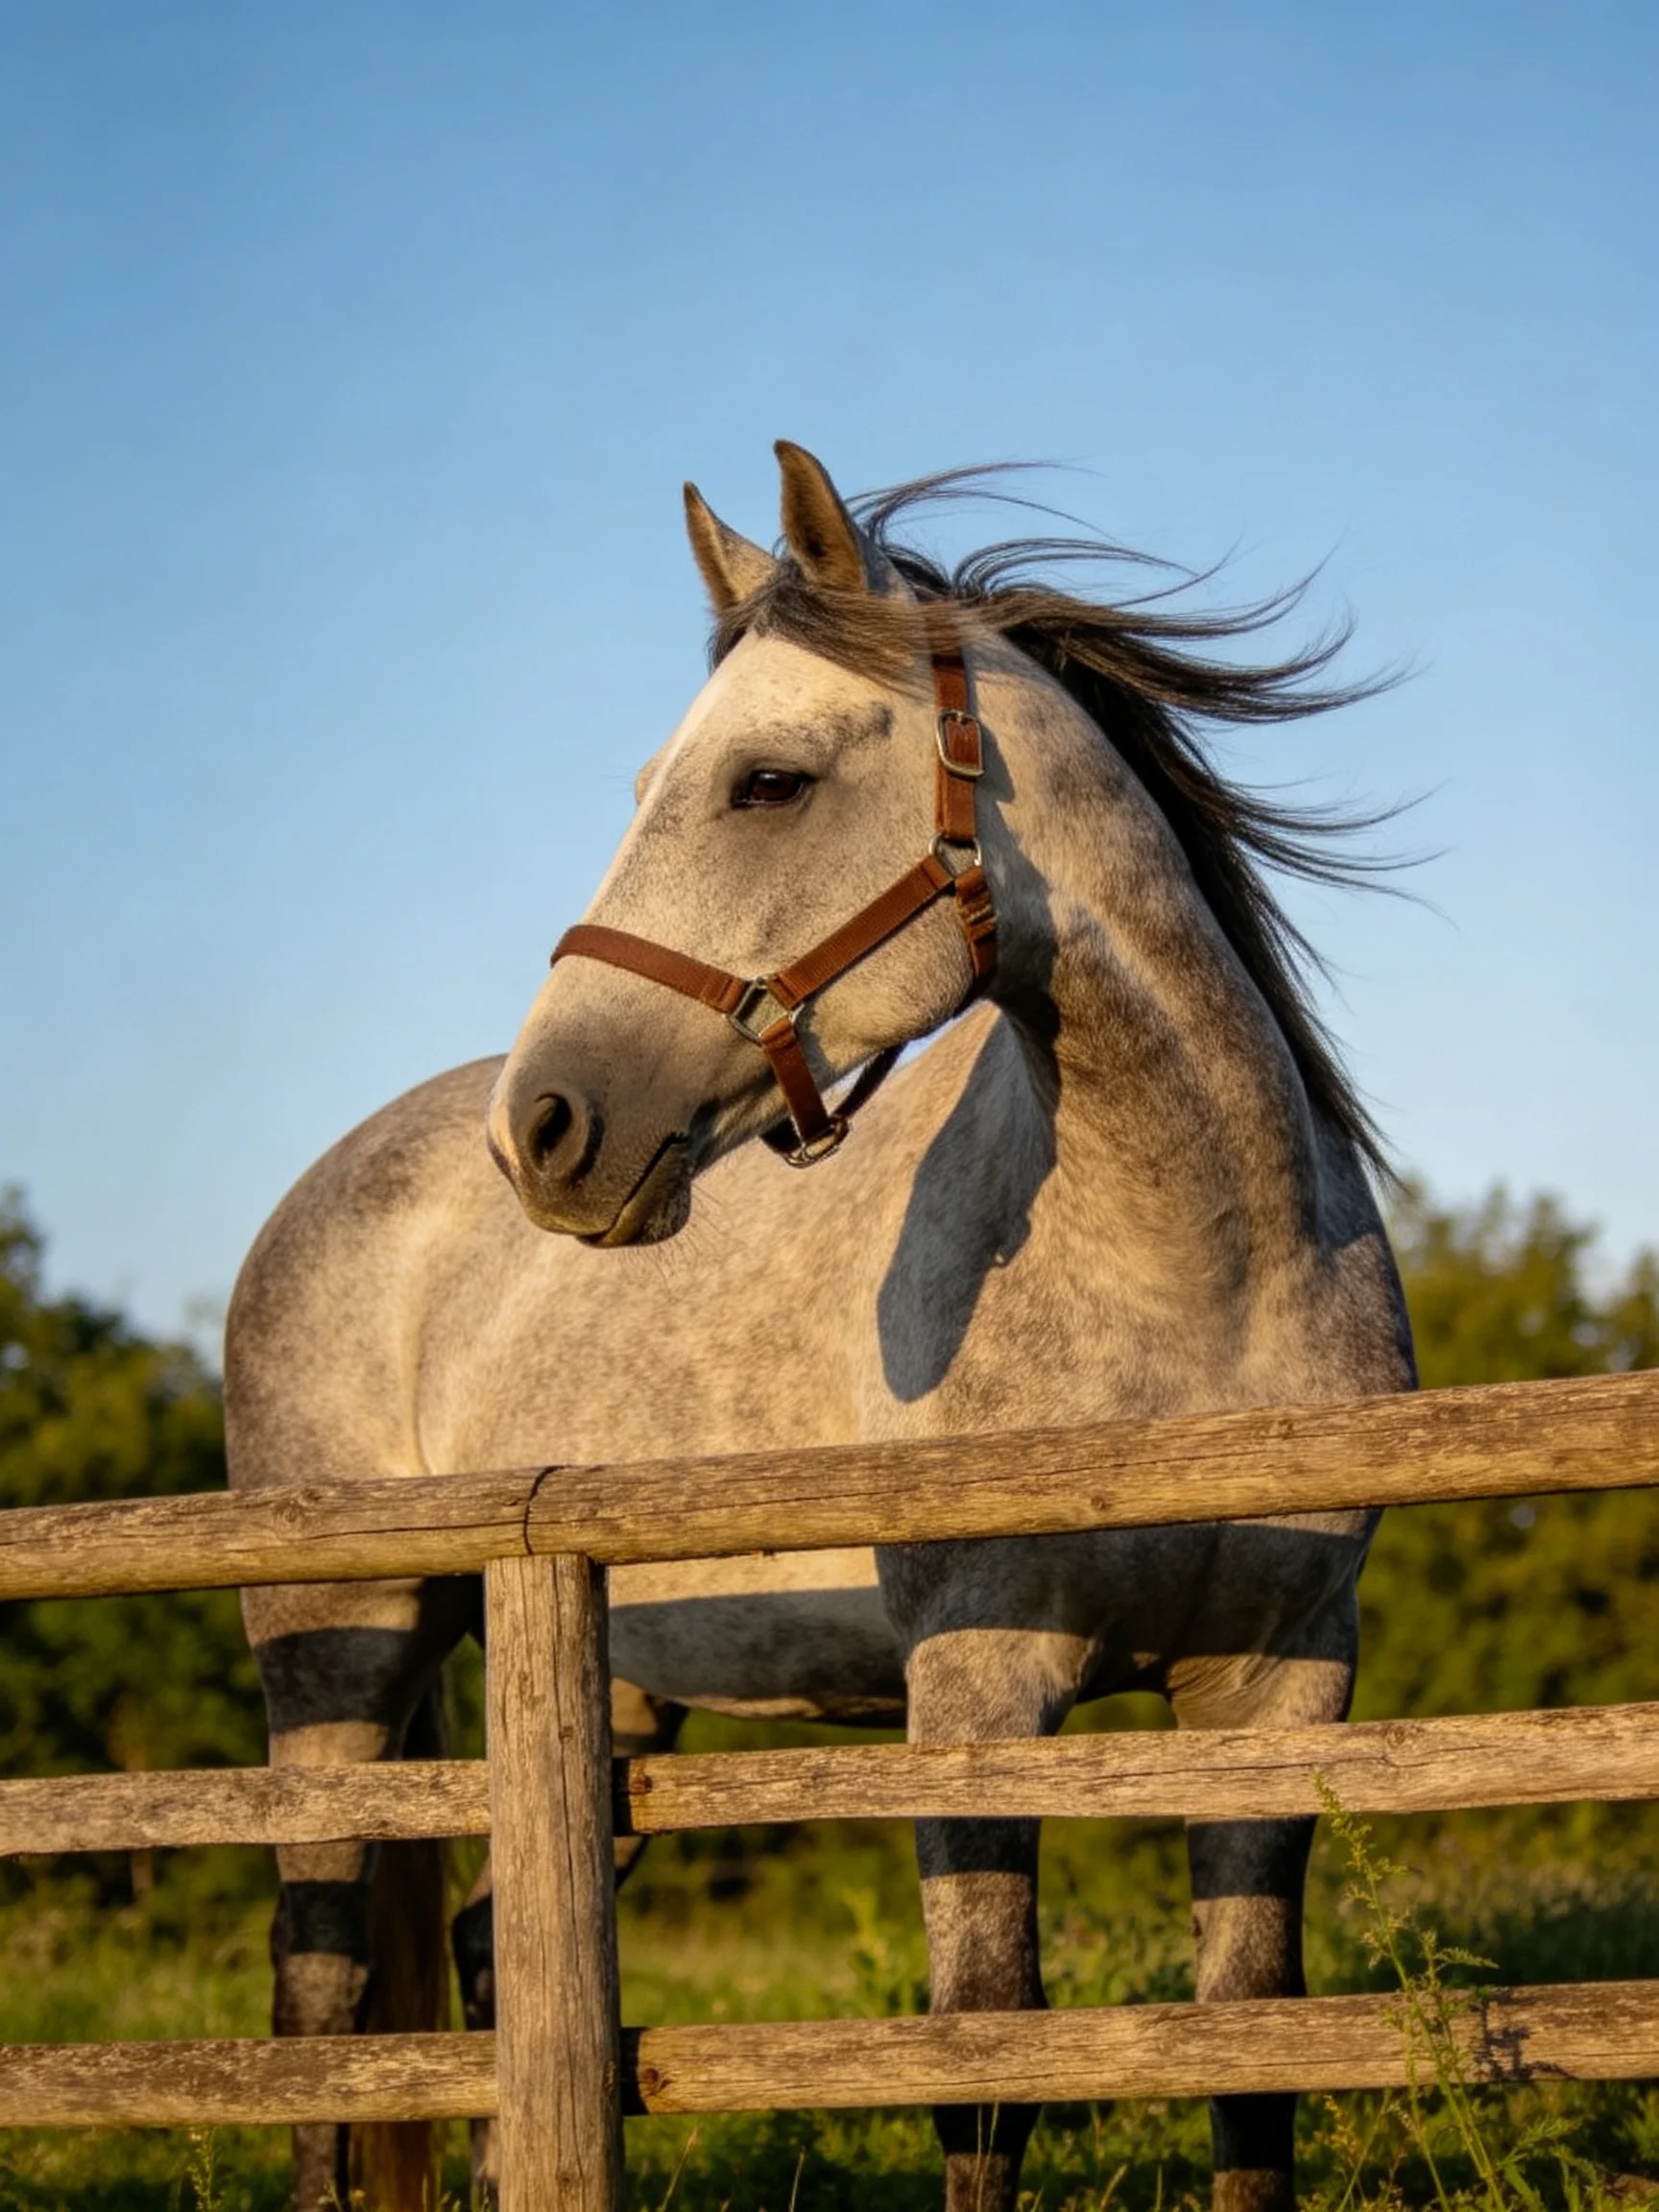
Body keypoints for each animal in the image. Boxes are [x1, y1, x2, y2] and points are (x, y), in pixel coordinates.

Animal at [226, 440, 1415, 2212]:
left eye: (766, 783)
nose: (545, 1129)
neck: (1202, 1278)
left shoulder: (1277, 1690)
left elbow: (1251, 2059)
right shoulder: (976, 1688)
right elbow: (984, 2066)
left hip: (601, 1707)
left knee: (498, 1955)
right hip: (336, 1662)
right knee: (322, 1993)